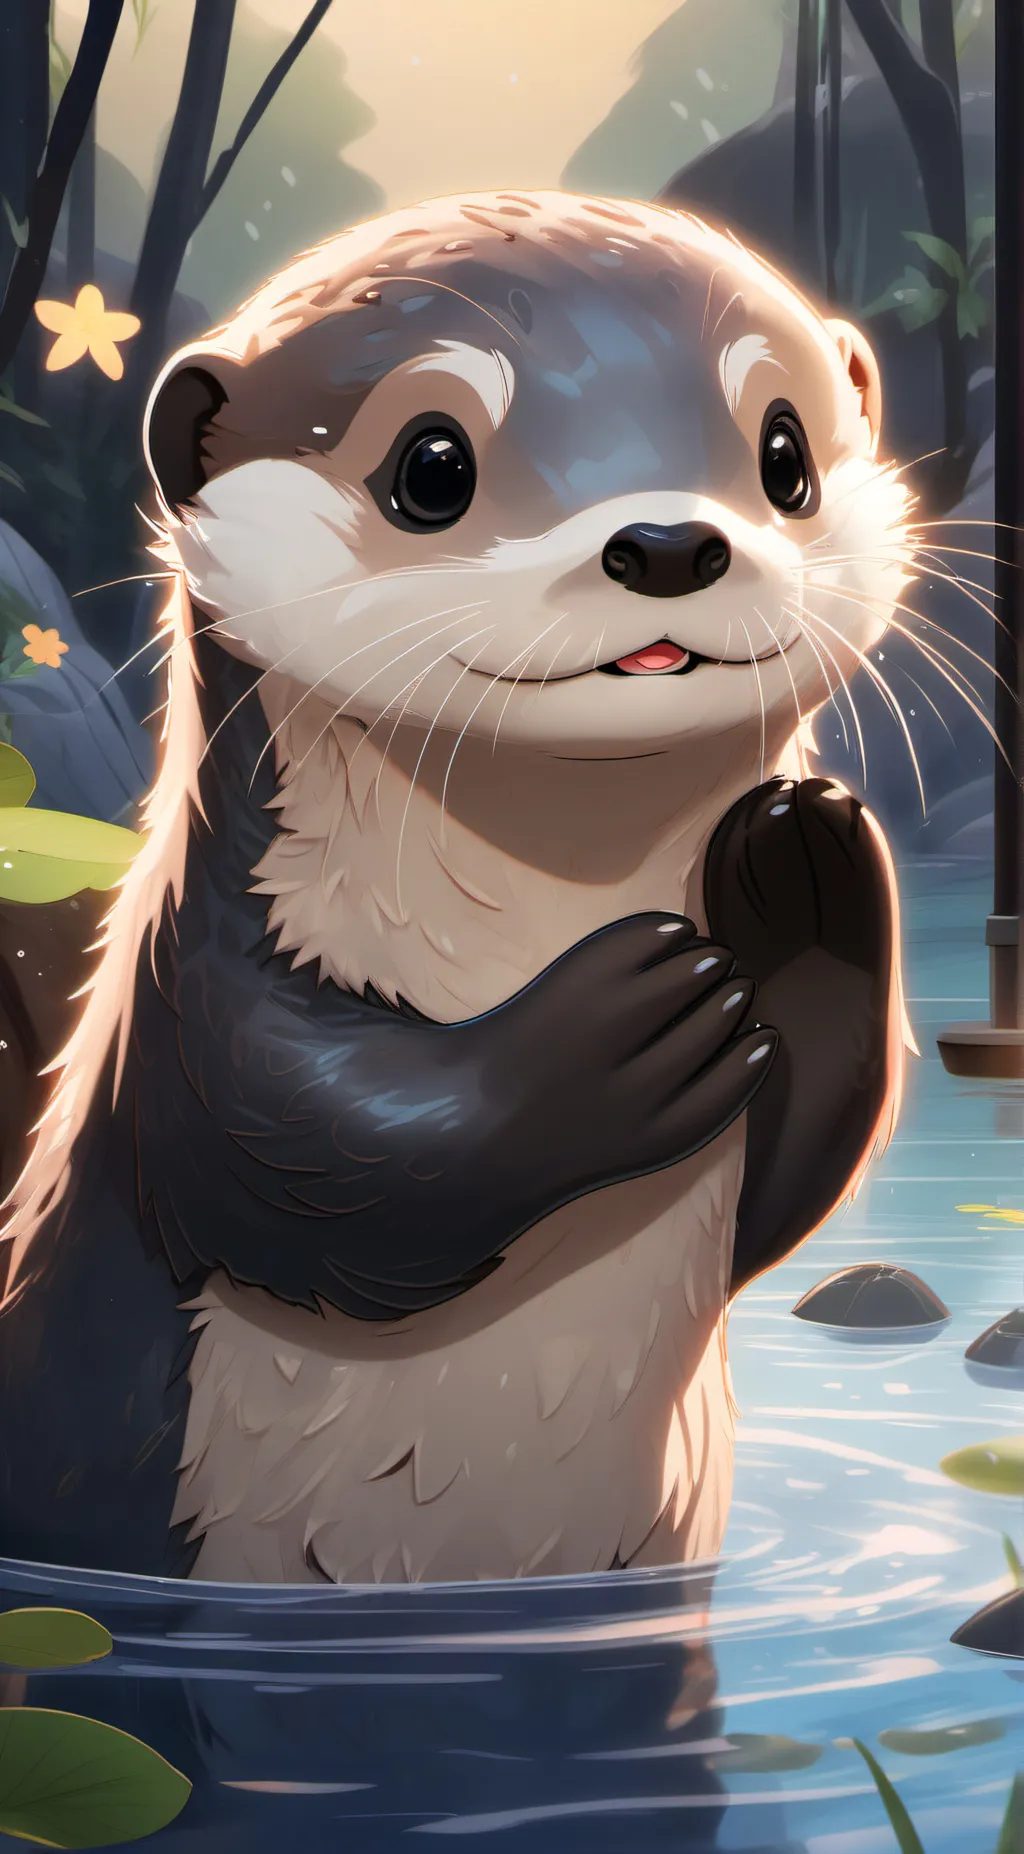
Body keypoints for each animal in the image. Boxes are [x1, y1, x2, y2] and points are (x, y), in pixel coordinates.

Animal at [0, 192, 912, 1585]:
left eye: (785, 455)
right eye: (432, 467)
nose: (666, 542)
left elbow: (796, 1166)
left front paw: (805, 871)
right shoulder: (191, 1009)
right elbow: (313, 1151)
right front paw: (623, 1025)